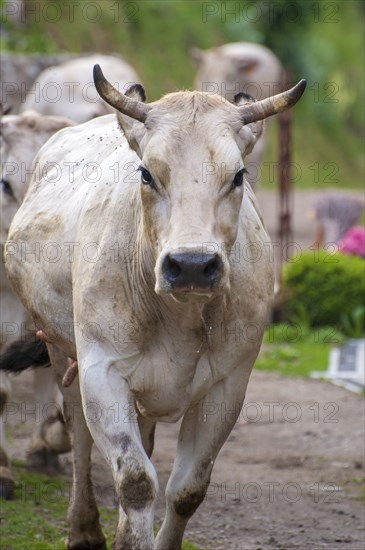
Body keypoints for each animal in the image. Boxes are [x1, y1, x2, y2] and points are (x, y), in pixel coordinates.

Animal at [4, 67, 304, 548]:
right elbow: (136, 481)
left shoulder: (227, 387)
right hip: (61, 352)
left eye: (238, 176)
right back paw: (84, 528)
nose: (193, 266)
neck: (180, 317)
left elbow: (187, 489)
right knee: (79, 436)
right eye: (147, 173)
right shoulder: (102, 372)